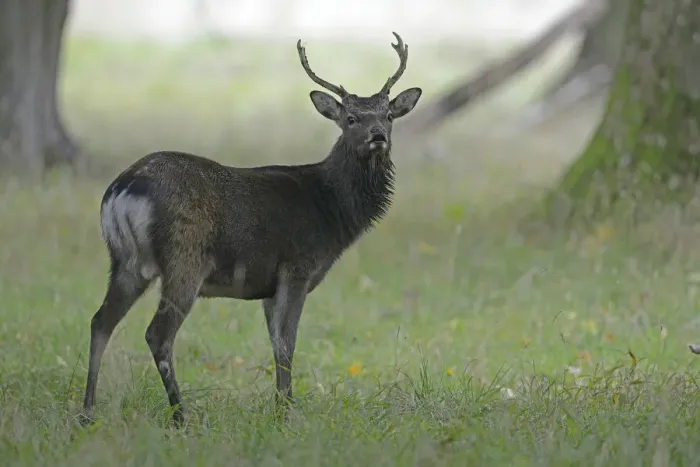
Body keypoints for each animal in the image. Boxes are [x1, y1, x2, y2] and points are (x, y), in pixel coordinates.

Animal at [80, 32, 422, 427]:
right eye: (350, 118)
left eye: (388, 115)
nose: (378, 135)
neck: (331, 209)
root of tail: (124, 188)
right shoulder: (297, 267)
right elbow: (288, 343)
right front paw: (287, 412)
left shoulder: (266, 286)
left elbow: (275, 344)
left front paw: (280, 406)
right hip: (185, 259)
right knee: (157, 334)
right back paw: (181, 416)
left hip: (126, 262)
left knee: (100, 322)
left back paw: (87, 412)